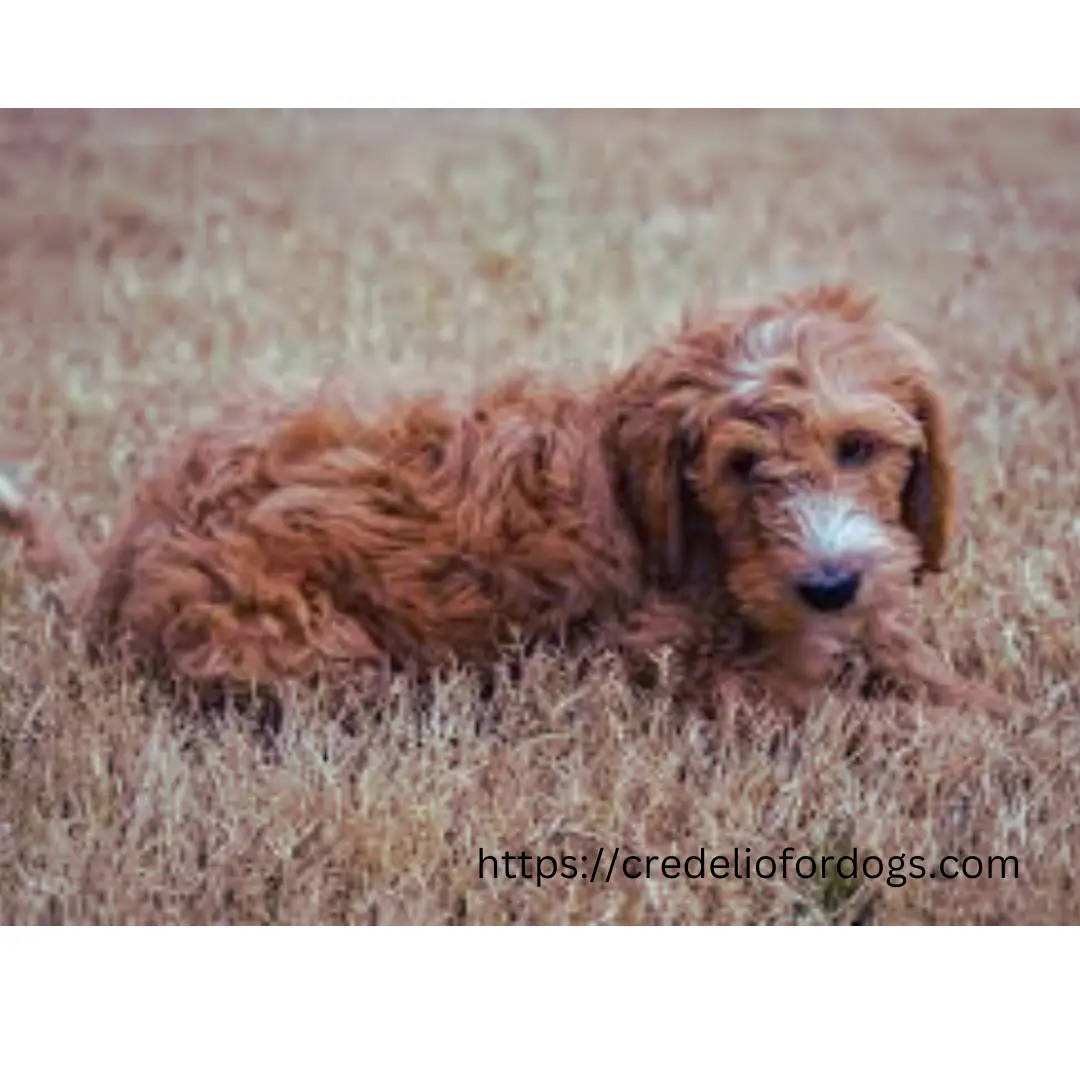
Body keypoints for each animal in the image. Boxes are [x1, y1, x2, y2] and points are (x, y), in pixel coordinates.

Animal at [0, 282, 1006, 712]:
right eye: (740, 468)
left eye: (859, 448)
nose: (829, 586)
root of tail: (132, 541)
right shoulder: (661, 661)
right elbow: (839, 715)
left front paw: (978, 705)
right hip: (295, 642)